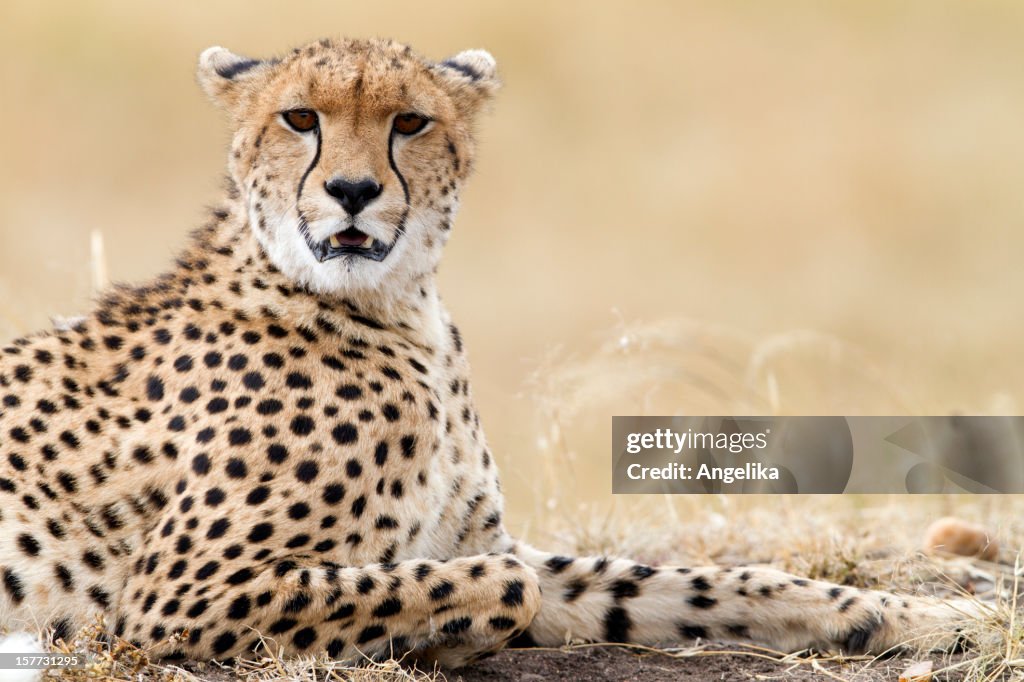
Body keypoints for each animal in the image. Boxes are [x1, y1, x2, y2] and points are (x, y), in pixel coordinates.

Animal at [0, 37, 974, 663]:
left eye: (411, 123)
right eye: (299, 118)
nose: (352, 191)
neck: (396, 308)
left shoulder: (480, 538)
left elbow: (694, 583)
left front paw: (917, 615)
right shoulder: (177, 595)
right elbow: (499, 584)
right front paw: (432, 640)